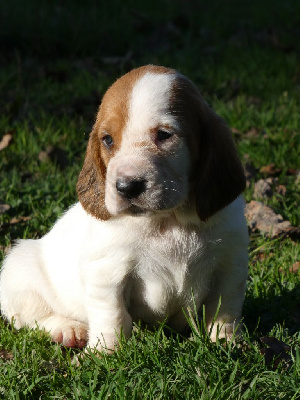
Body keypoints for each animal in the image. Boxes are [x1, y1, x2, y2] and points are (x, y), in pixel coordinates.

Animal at [0, 65, 248, 350]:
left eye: (164, 135)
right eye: (107, 140)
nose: (127, 186)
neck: (167, 219)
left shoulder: (230, 264)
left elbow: (225, 308)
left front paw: (226, 341)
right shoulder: (108, 273)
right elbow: (112, 316)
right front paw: (104, 352)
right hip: (18, 269)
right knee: (32, 318)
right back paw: (68, 330)